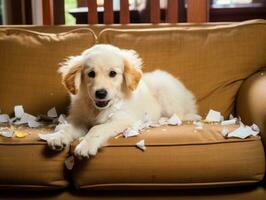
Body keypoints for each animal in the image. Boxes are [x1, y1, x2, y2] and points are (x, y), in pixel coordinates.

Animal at [46, 44, 200, 159]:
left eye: (113, 73)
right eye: (91, 74)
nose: (100, 93)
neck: (97, 109)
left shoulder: (123, 119)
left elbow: (97, 128)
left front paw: (85, 145)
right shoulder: (79, 119)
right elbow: (66, 127)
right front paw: (57, 137)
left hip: (167, 95)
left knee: (183, 113)